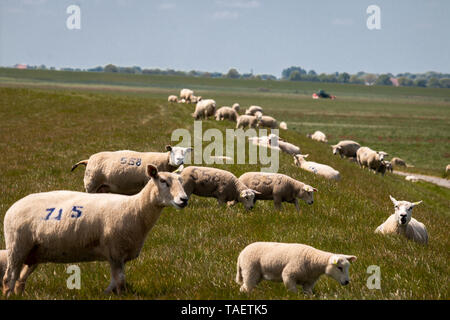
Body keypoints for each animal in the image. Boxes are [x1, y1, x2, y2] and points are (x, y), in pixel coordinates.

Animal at [1, 165, 188, 298]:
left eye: (181, 181)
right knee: (9, 277)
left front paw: (106, 293)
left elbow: (115, 282)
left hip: (34, 252)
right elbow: (120, 281)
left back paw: (19, 294)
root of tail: (13, 207)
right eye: (163, 181)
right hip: (17, 246)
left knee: (20, 279)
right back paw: (9, 295)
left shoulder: (118, 255)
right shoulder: (115, 251)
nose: (184, 200)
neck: (136, 208)